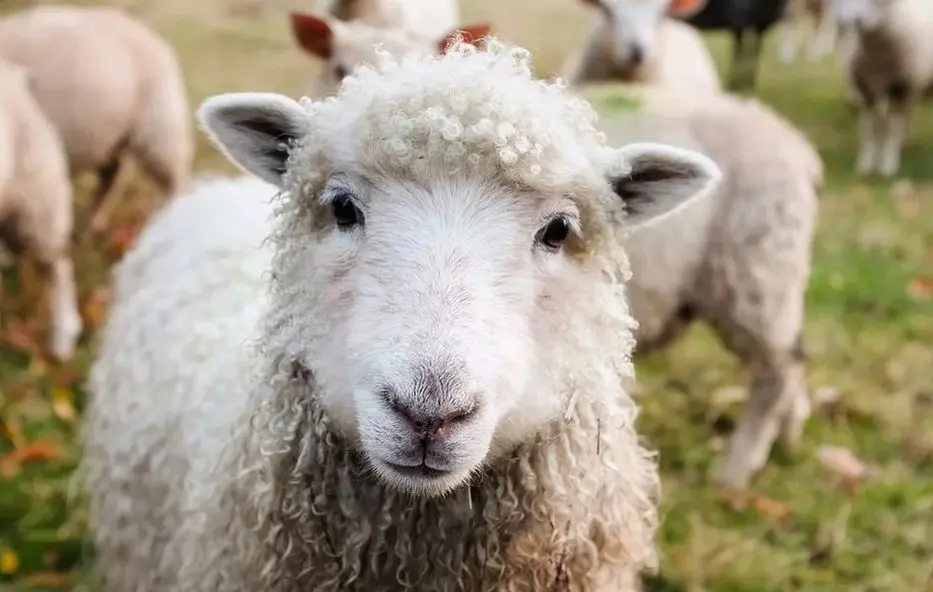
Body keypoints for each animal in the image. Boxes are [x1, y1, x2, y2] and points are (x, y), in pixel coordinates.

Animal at [576, 82, 821, 489]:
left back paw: (736, 470)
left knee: (780, 369)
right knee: (794, 355)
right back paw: (790, 434)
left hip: (753, 269)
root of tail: (802, 150)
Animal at [830, 0, 933, 178]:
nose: (844, 21)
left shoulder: (901, 86)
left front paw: (888, 164)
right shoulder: (866, 87)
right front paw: (866, 163)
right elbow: (869, 126)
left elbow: (893, 126)